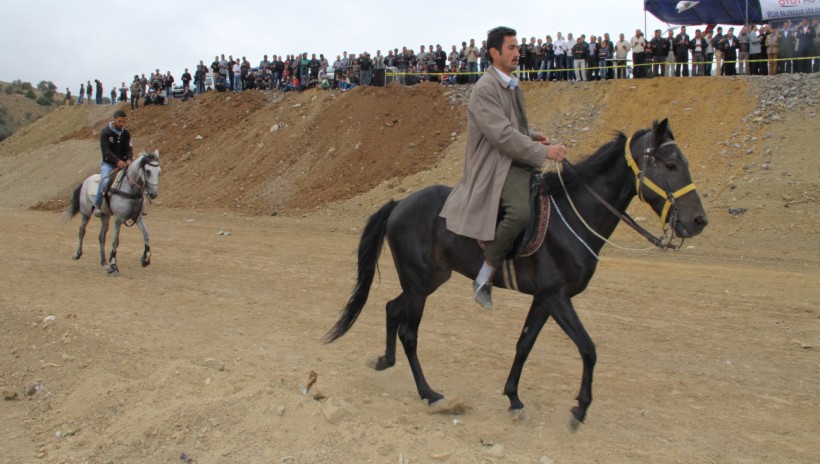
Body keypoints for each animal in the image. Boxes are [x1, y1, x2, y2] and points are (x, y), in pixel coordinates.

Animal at [324, 118, 708, 428]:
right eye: (671, 164)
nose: (698, 221)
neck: (572, 216)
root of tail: (400, 204)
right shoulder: (557, 297)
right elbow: (588, 348)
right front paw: (580, 408)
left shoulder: (544, 299)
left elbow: (524, 344)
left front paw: (514, 399)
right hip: (419, 284)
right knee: (409, 333)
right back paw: (429, 393)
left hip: (430, 280)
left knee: (392, 308)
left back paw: (384, 360)